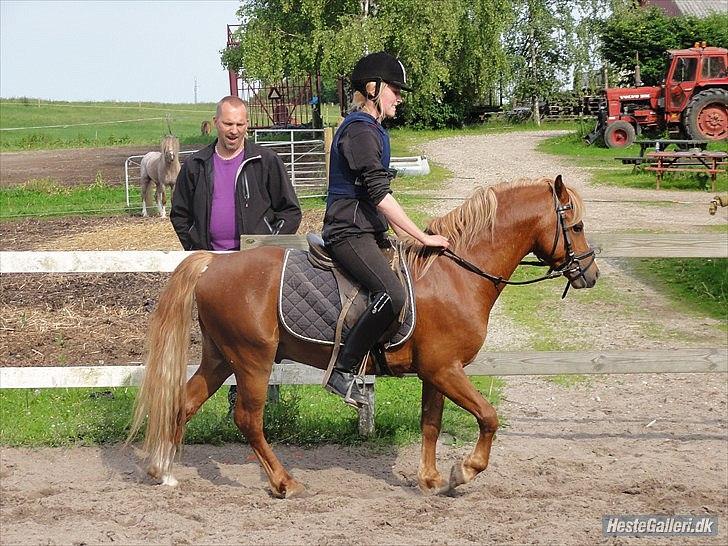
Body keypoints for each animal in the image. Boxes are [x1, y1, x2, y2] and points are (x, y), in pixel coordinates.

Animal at [129, 174, 596, 492]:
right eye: (574, 227)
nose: (589, 273)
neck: (455, 274)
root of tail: (214, 262)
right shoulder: (446, 369)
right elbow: (488, 416)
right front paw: (464, 471)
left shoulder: (437, 372)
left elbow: (431, 423)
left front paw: (430, 479)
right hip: (251, 360)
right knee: (248, 419)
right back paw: (283, 482)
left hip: (221, 357)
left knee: (183, 403)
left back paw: (163, 471)